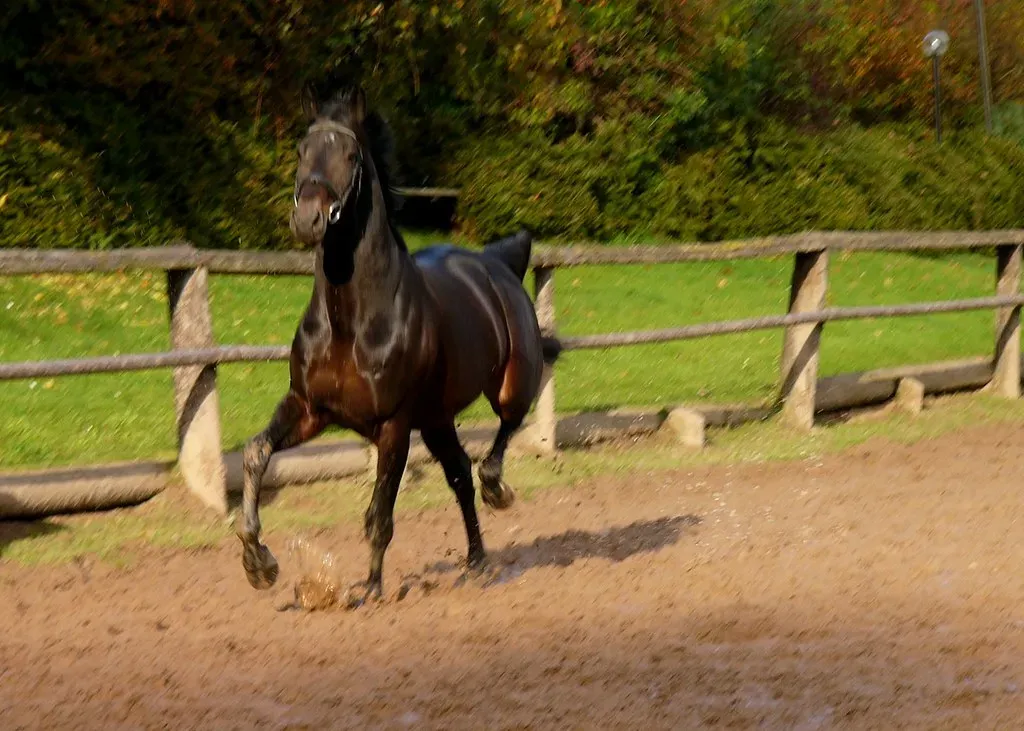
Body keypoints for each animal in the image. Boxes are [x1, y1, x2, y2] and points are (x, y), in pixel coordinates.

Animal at [236, 85, 560, 604]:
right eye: (301, 150)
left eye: (350, 155)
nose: (307, 220)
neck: (351, 323)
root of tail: (499, 262)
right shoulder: (310, 408)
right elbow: (255, 453)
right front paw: (258, 564)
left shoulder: (393, 424)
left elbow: (379, 514)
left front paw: (370, 589)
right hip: (436, 419)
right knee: (459, 475)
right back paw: (477, 562)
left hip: (507, 386)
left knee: (500, 438)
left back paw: (499, 493)